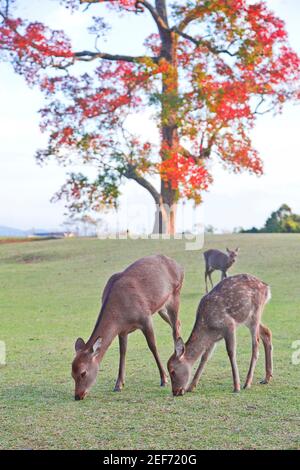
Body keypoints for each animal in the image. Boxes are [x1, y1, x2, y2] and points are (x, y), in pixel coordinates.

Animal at [70, 253, 184, 400]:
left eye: (83, 372)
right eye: (72, 373)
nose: (78, 395)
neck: (119, 313)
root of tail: (178, 265)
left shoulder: (145, 318)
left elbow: (152, 346)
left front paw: (164, 379)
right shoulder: (122, 330)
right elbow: (122, 352)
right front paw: (118, 385)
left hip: (175, 295)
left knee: (175, 328)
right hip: (161, 308)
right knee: (178, 324)